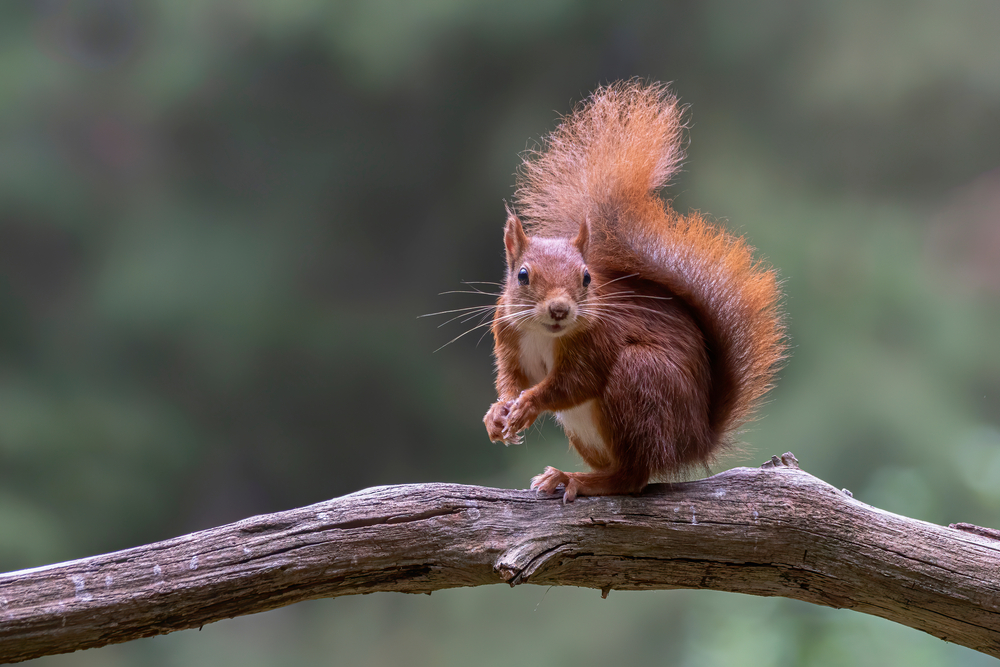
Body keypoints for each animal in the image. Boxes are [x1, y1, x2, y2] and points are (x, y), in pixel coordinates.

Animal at [484, 81, 788, 500]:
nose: (560, 310)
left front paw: (529, 404)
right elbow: (513, 376)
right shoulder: (510, 336)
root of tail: (697, 440)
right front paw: (497, 413)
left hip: (640, 381)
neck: (547, 335)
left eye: (587, 278)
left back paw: (577, 479)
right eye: (523, 276)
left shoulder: (598, 342)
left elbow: (574, 383)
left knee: (632, 477)